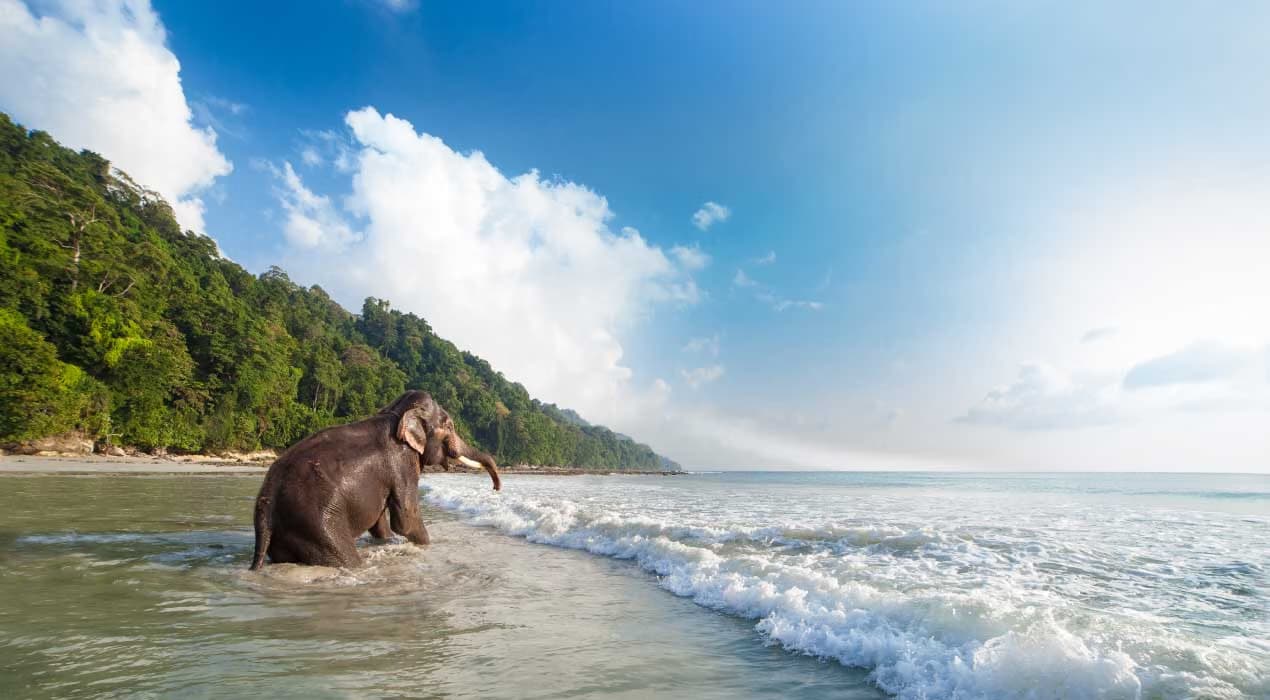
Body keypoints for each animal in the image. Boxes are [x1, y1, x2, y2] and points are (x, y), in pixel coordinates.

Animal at [250, 390, 500, 570]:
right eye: (449, 426)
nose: (496, 488)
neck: (395, 412)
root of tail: (266, 504)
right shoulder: (402, 462)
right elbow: (406, 519)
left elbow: (381, 520)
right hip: (318, 526)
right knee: (345, 558)